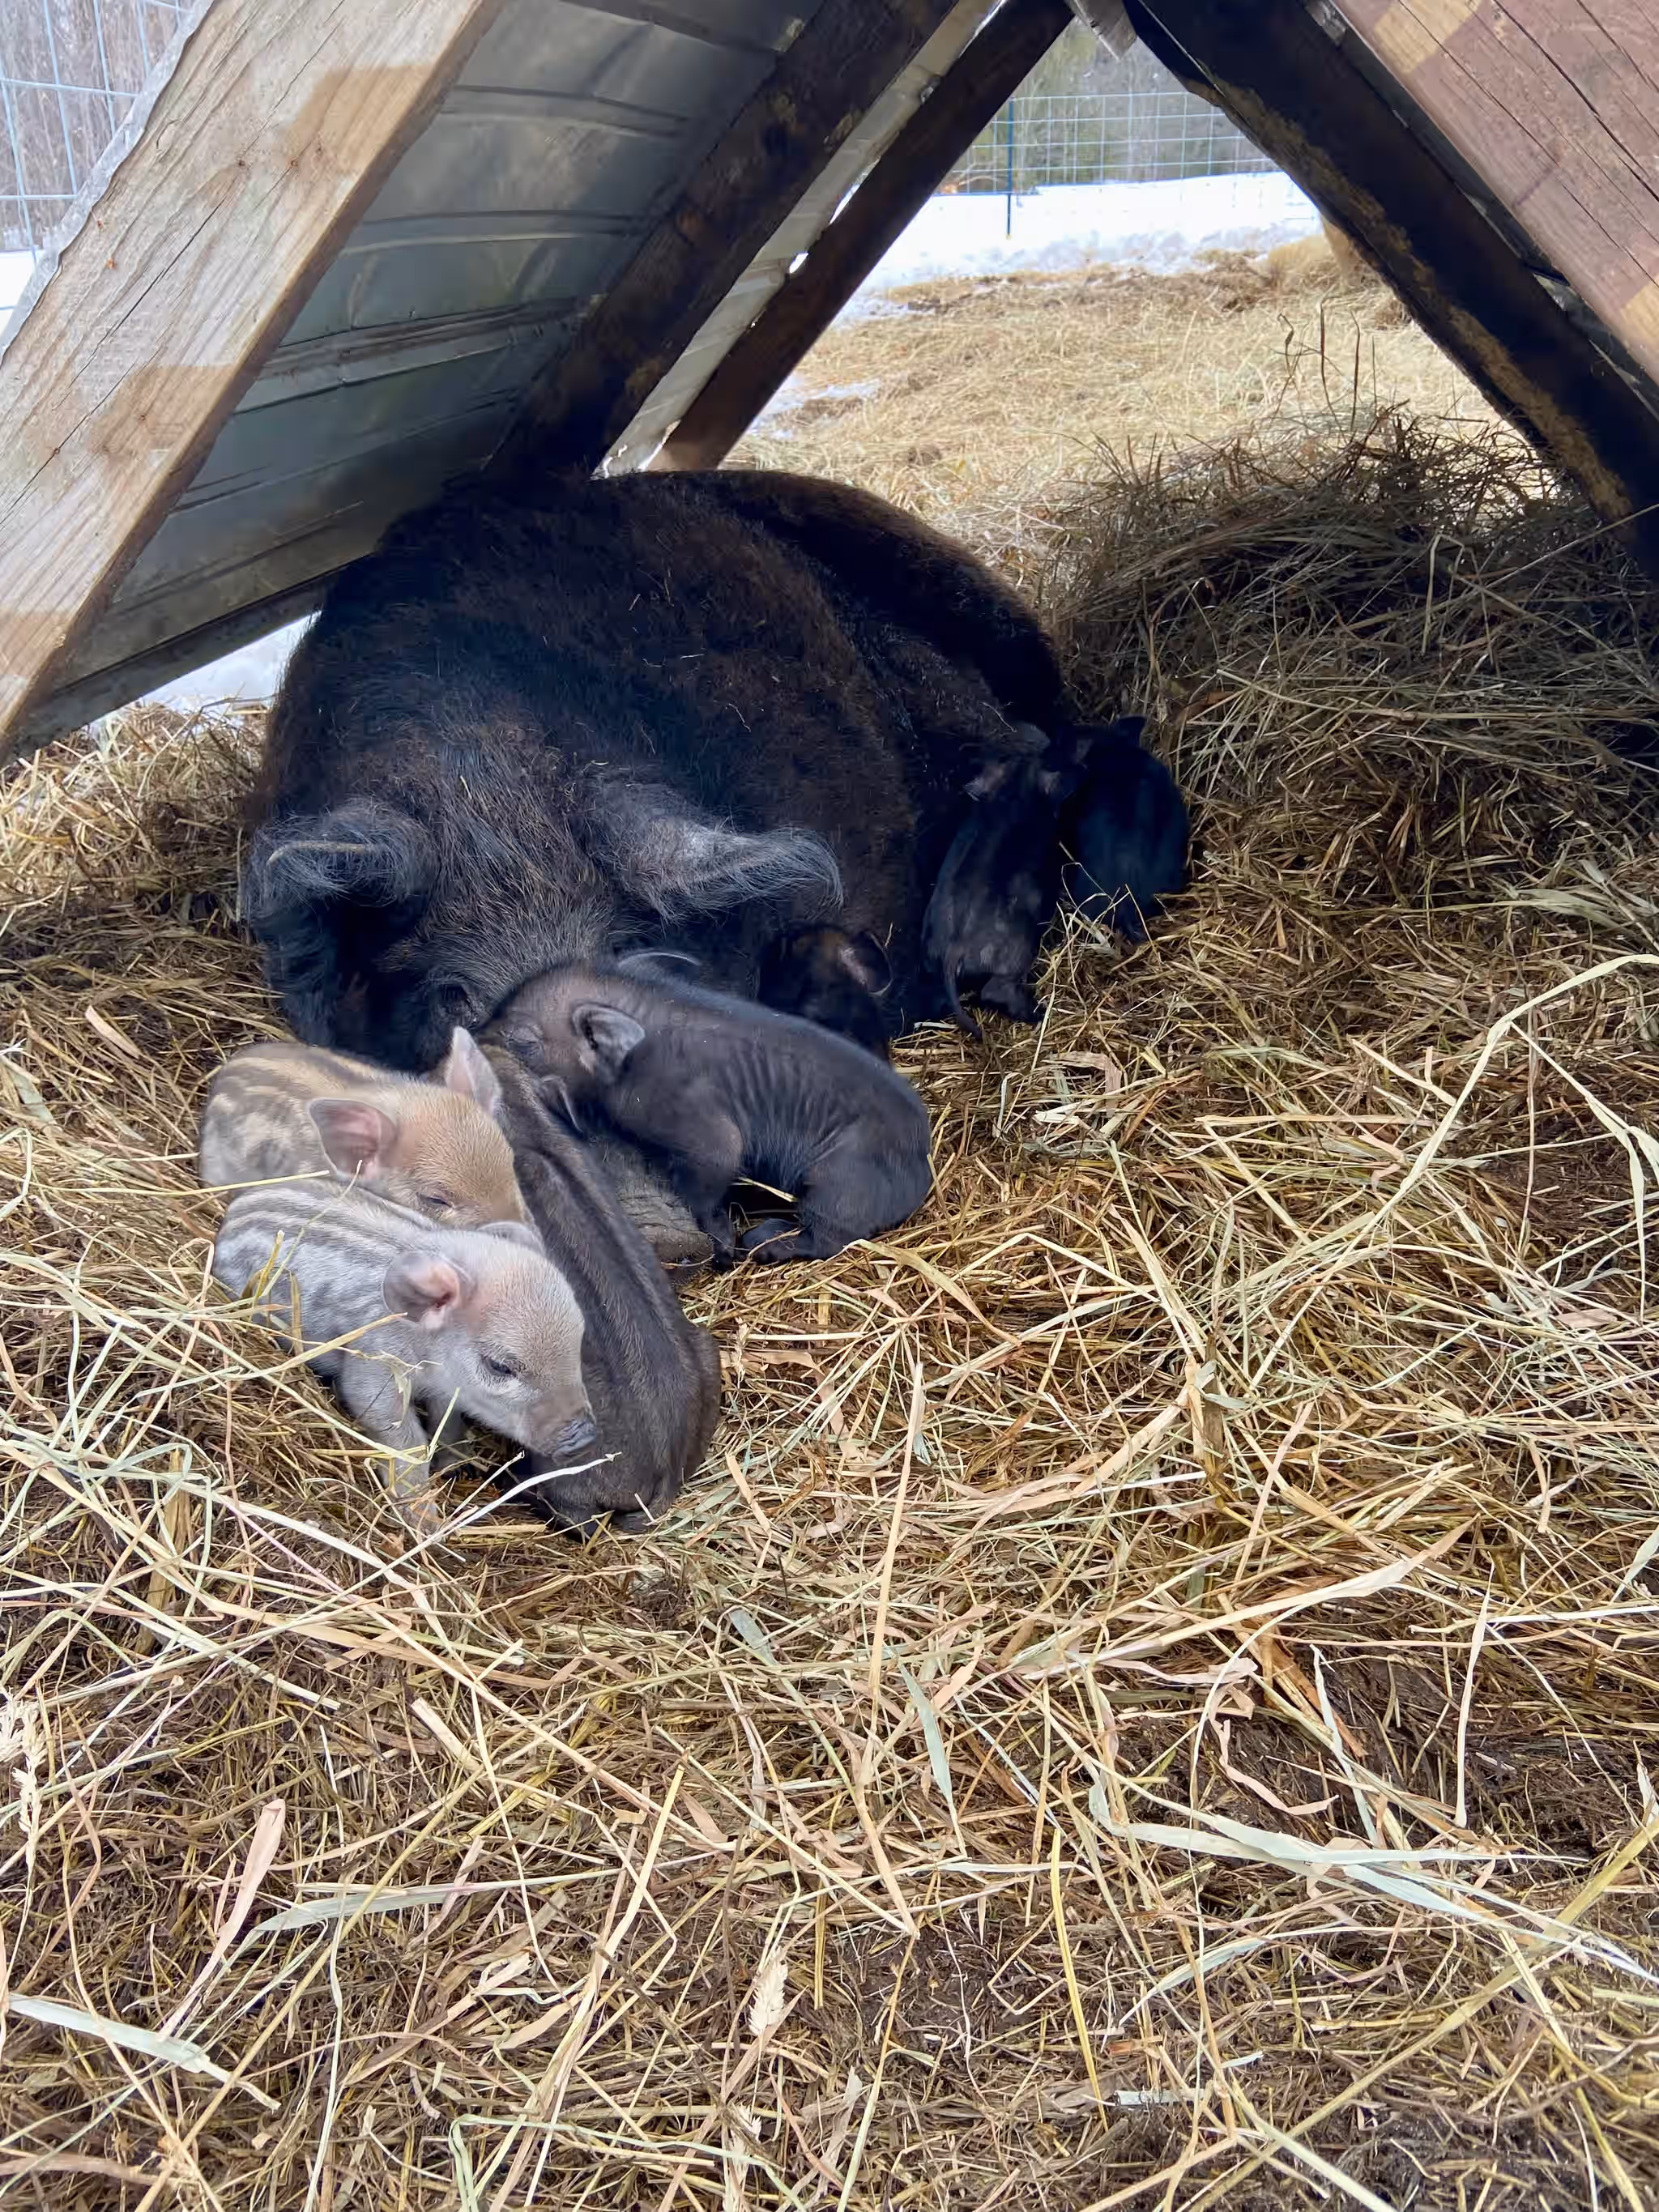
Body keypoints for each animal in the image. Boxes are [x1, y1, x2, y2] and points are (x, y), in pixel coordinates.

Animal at [211, 1182, 592, 1533]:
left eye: (578, 1344)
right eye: (500, 1365)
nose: (585, 1436)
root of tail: (232, 1215)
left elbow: (448, 1420)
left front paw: (457, 1466)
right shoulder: (375, 1364)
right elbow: (402, 1434)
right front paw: (428, 1524)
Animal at [486, 964, 932, 1265]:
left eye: (523, 1038)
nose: (476, 1033)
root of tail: (923, 1167)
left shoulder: (707, 1133)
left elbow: (709, 1181)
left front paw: (723, 1248)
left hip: (836, 1182)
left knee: (829, 1237)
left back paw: (761, 1243)